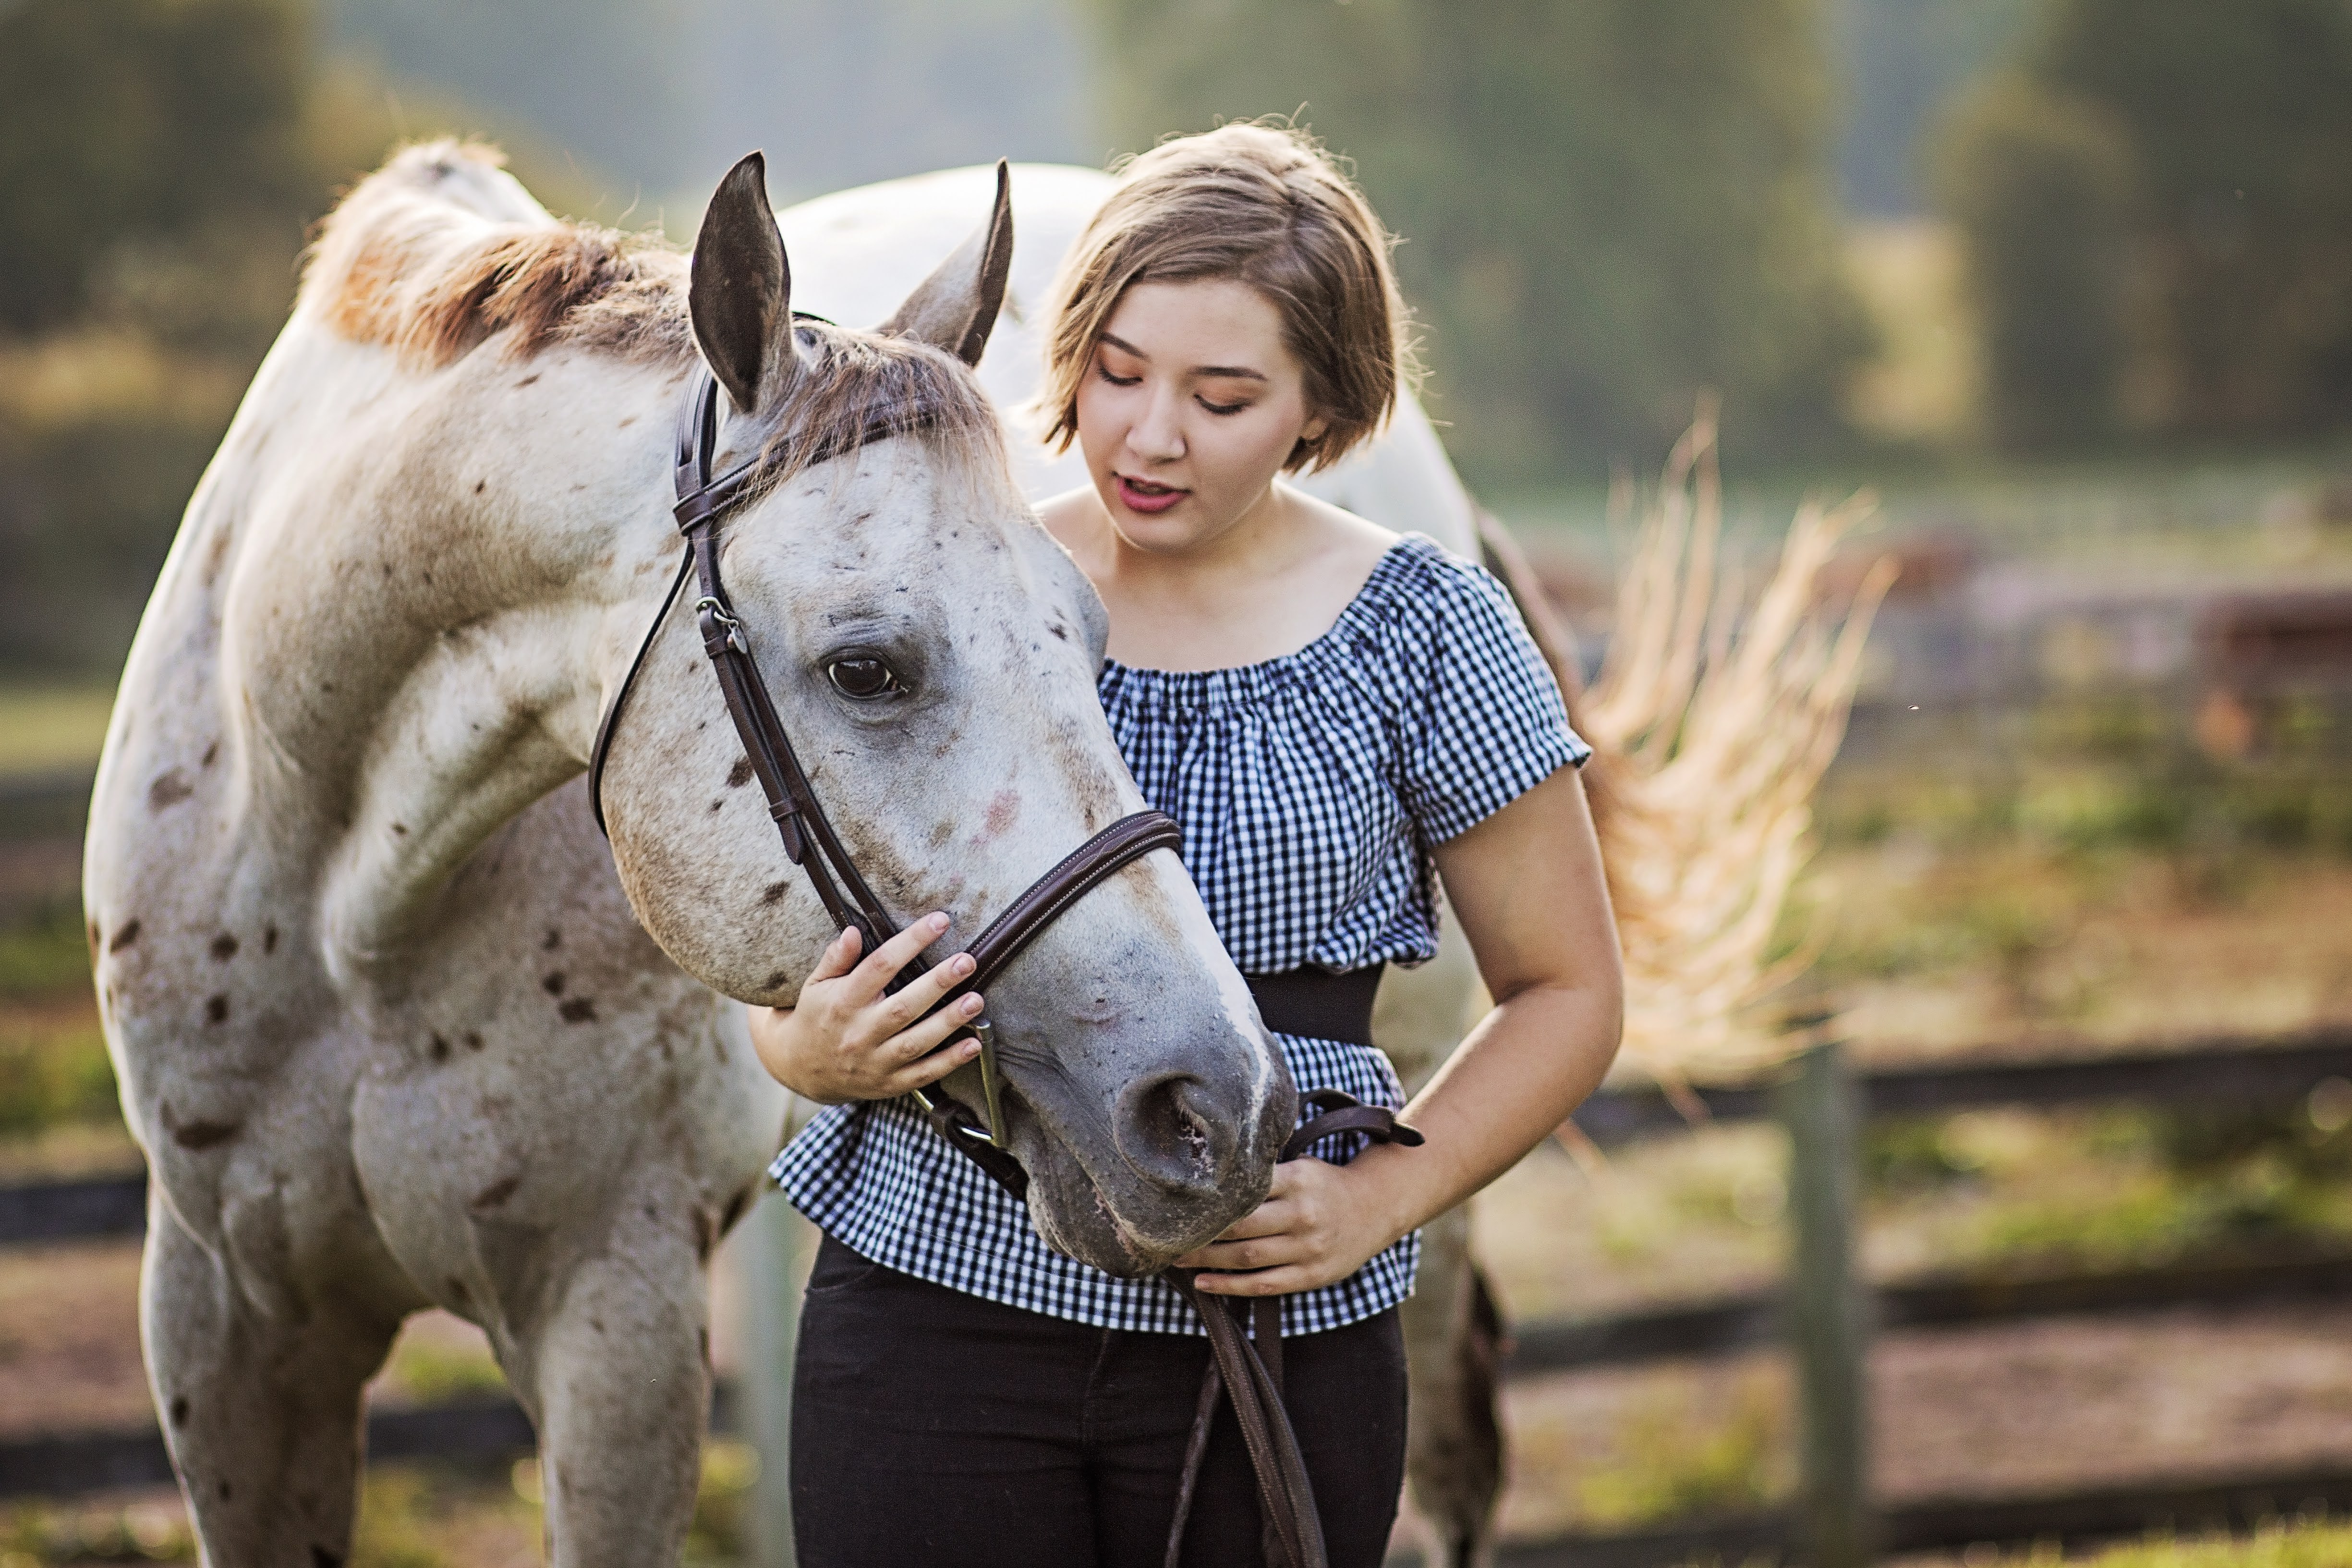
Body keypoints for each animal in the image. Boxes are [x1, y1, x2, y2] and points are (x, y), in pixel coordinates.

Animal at [82, 142, 1296, 1564]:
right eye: (867, 667)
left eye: (1093, 632)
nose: (1219, 1105)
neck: (349, 916)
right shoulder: (227, 1330)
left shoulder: (618, 1318)